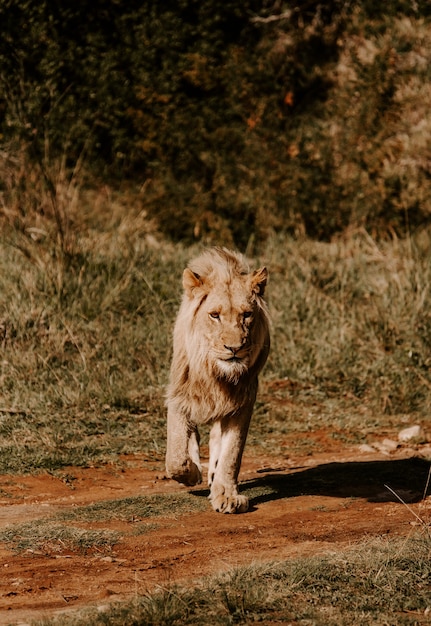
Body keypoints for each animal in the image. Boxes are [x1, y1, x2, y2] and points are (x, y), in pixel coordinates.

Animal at [165, 245, 270, 512]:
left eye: (247, 315)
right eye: (214, 315)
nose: (234, 348)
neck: (217, 373)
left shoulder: (243, 400)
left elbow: (232, 452)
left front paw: (227, 495)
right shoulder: (179, 393)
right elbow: (176, 457)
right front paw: (192, 473)